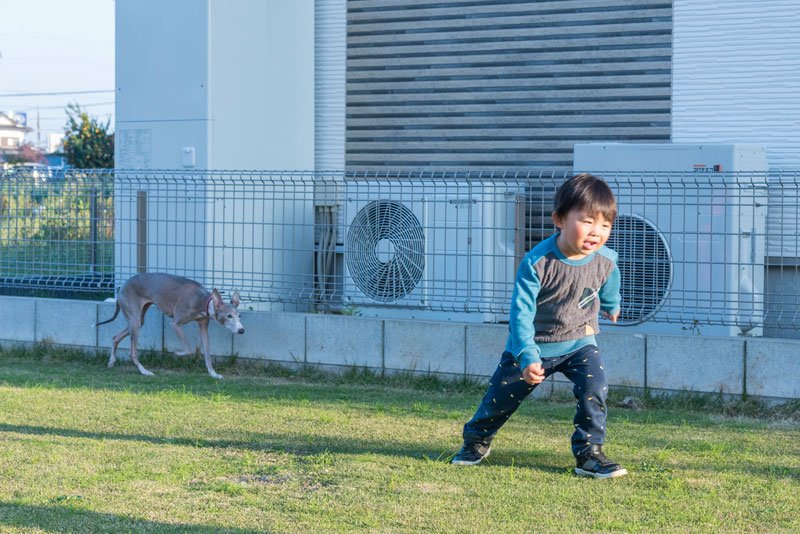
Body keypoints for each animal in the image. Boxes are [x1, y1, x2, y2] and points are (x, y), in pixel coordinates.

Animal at [96, 274, 244, 378]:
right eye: (229, 316)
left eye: (239, 315)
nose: (242, 330)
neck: (203, 301)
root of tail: (122, 286)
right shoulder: (176, 324)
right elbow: (188, 349)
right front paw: (177, 353)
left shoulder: (203, 327)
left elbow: (207, 354)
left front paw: (213, 374)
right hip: (135, 321)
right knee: (132, 352)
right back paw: (144, 371)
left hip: (138, 320)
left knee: (115, 337)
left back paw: (111, 361)